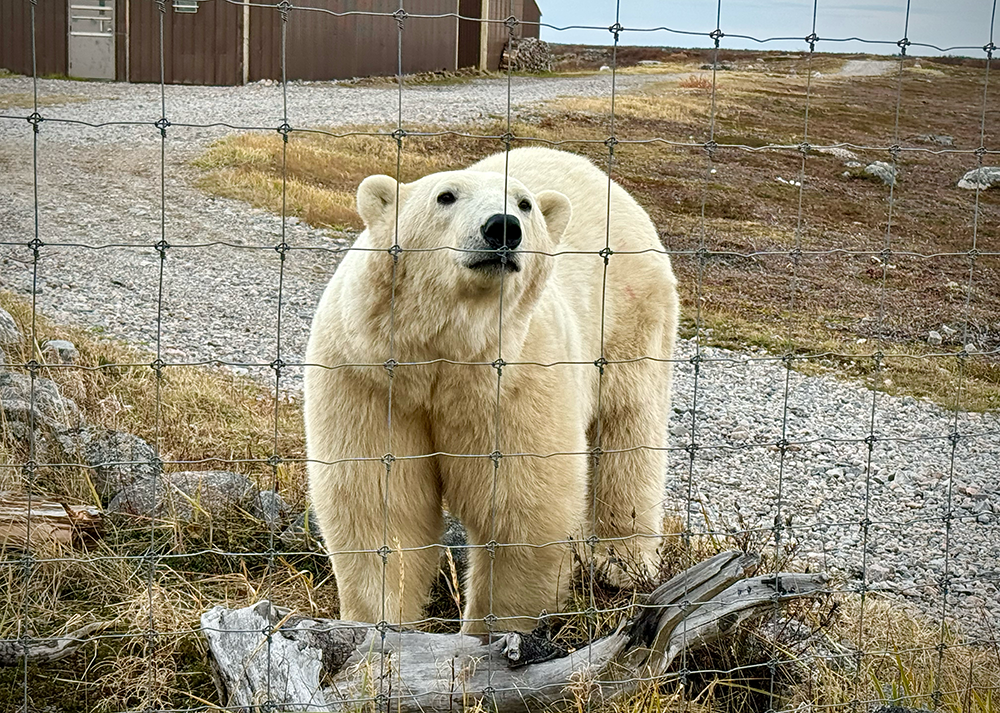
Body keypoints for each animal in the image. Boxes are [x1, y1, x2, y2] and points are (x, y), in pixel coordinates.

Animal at [304, 146, 680, 636]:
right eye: (445, 196)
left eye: (525, 204)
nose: (503, 227)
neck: (446, 351)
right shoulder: (367, 374)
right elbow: (381, 503)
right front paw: (378, 626)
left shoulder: (516, 378)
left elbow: (522, 506)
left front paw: (492, 635)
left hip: (630, 318)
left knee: (629, 434)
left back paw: (621, 563)